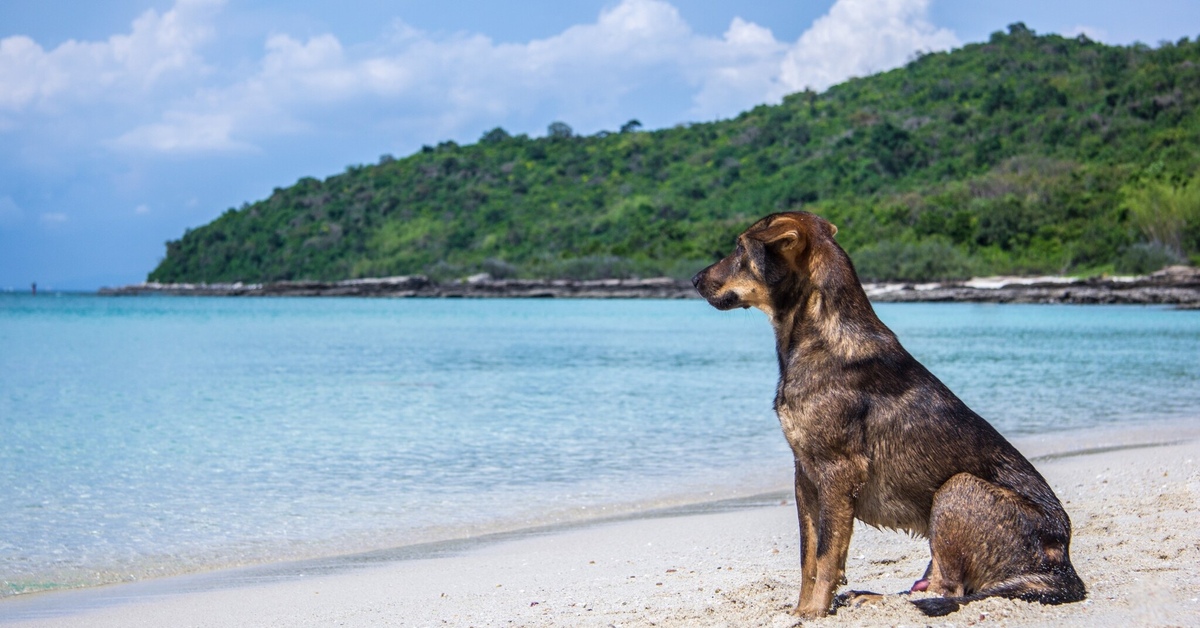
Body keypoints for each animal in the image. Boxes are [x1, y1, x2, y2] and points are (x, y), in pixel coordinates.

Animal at [691, 211, 1084, 619]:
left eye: (740, 247)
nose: (694, 281)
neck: (817, 335)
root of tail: (1064, 568)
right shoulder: (805, 475)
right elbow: (807, 557)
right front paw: (802, 610)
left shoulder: (838, 473)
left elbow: (827, 555)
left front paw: (815, 611)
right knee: (932, 584)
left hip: (957, 489)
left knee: (948, 589)